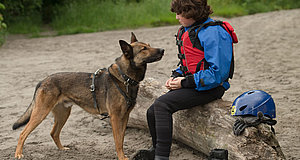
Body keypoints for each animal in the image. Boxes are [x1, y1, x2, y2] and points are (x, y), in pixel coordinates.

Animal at [12, 32, 164, 160]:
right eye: (144, 49)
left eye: (149, 45)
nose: (162, 50)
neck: (124, 78)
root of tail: (43, 81)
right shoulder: (115, 117)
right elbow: (118, 141)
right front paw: (121, 157)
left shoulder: (124, 116)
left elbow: (121, 138)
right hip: (41, 113)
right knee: (23, 133)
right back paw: (18, 154)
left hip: (63, 114)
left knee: (53, 133)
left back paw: (62, 149)